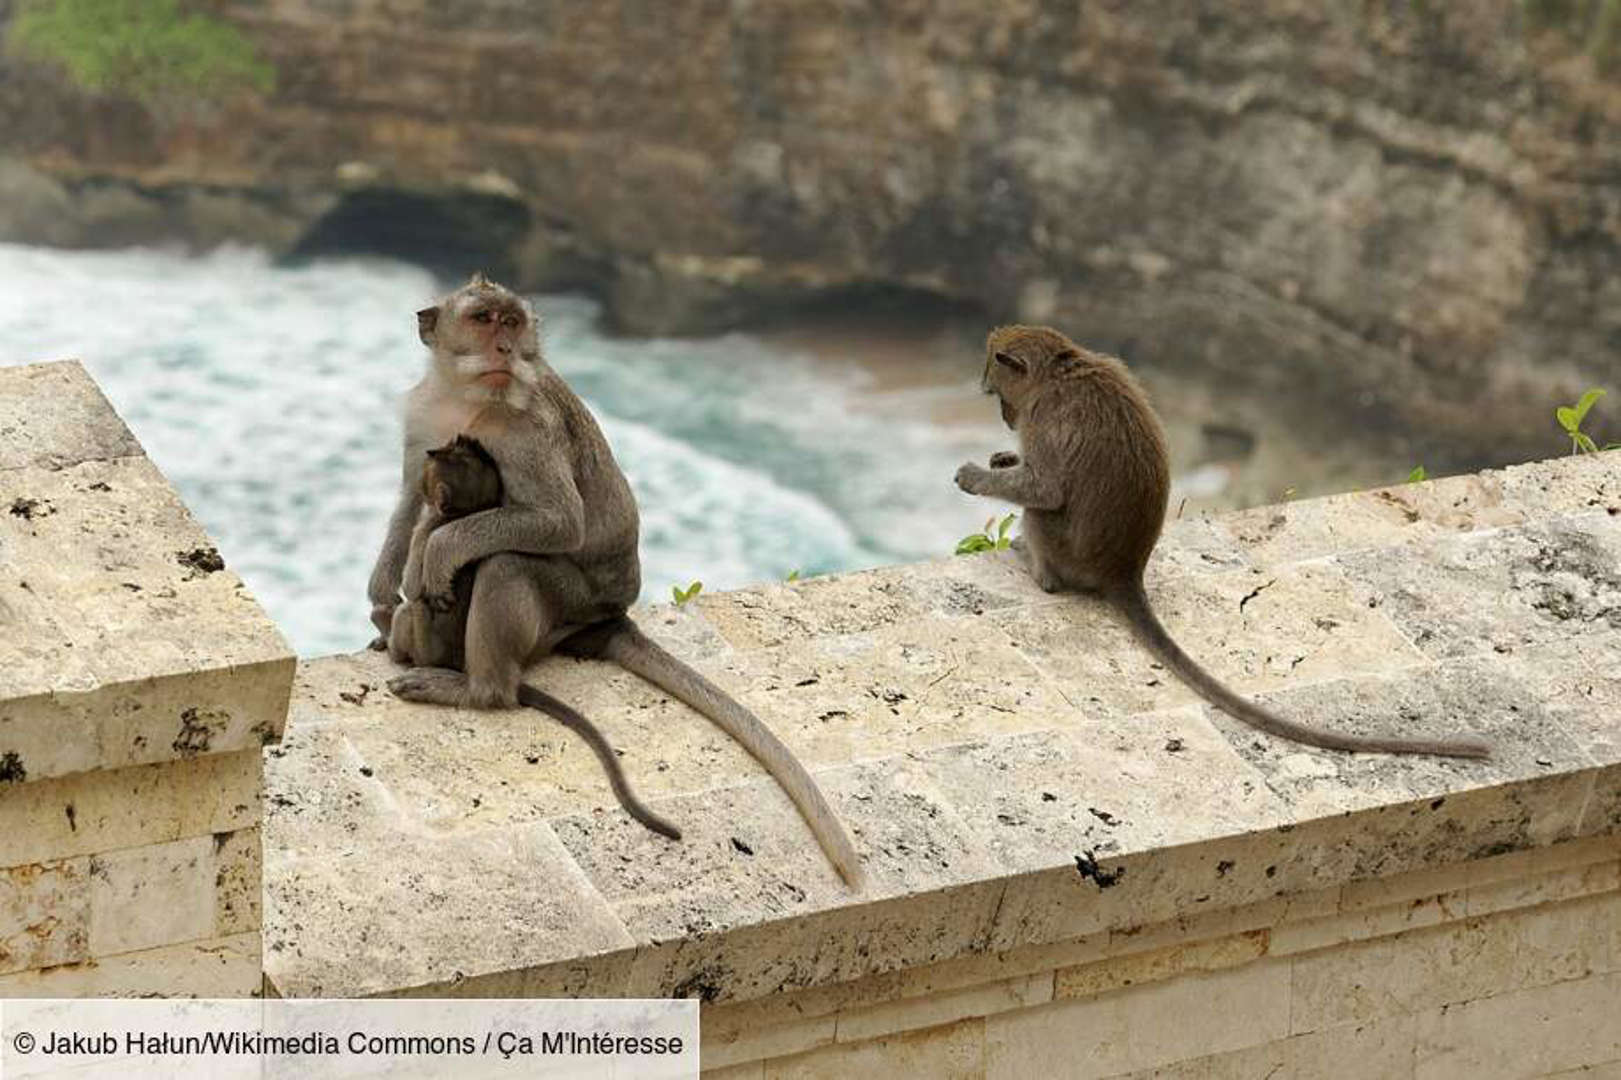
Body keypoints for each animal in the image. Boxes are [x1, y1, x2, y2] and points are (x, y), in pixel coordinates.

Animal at [954, 324, 1490, 759]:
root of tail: (1124, 570)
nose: (1007, 418)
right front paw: (1003, 460)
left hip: (1064, 545)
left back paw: (1036, 567)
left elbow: (1046, 490)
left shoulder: (1048, 417)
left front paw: (979, 476)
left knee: (1043, 515)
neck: (1059, 371)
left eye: (997, 393)